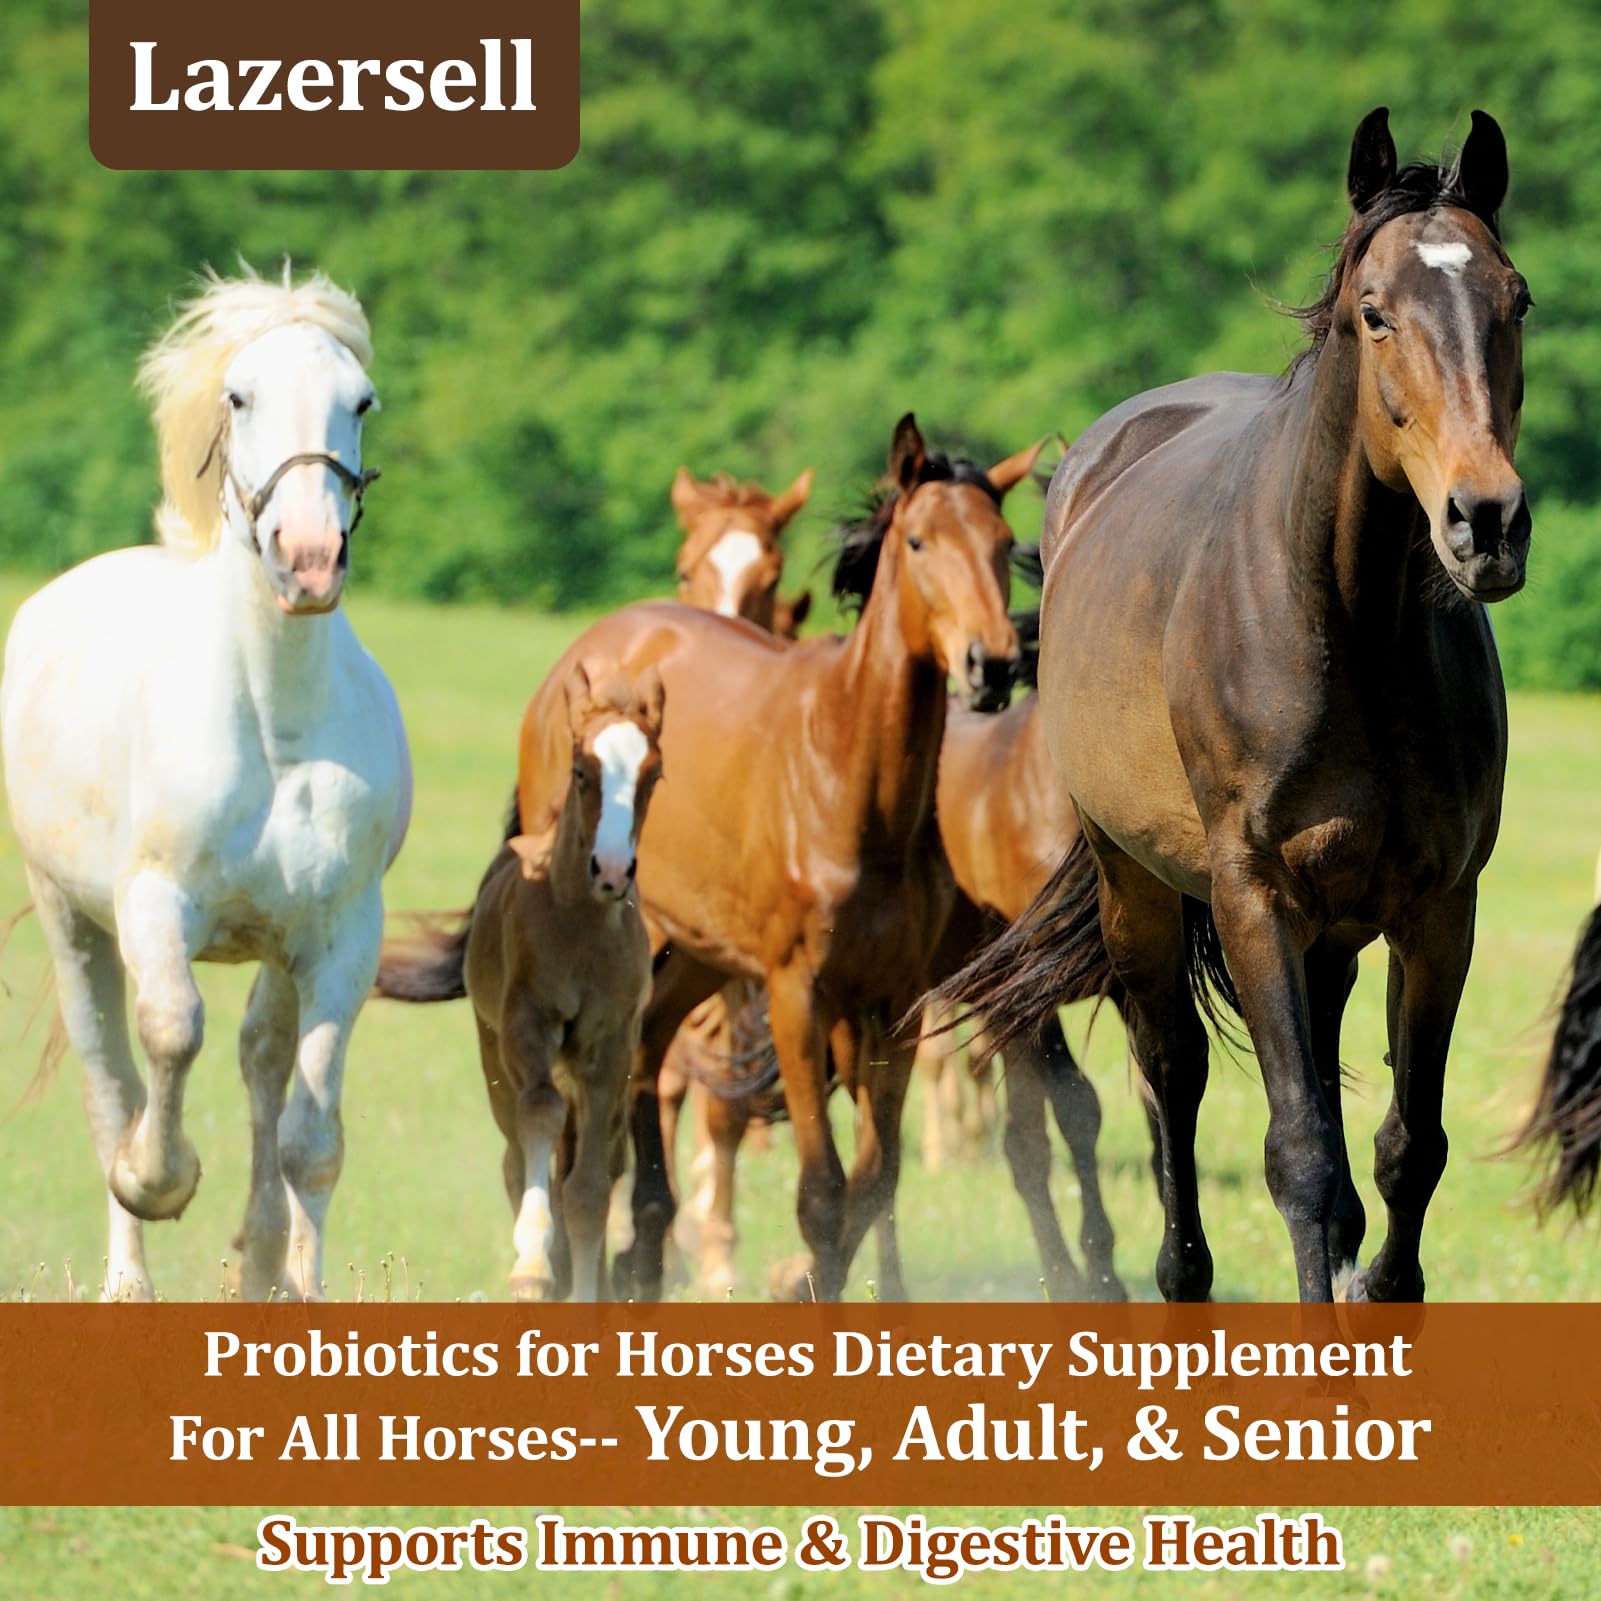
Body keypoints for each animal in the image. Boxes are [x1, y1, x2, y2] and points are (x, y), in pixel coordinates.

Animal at [1, 269, 411, 1302]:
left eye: (361, 401)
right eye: (238, 396)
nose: (307, 557)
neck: (273, 722)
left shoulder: (339, 938)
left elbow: (311, 1138)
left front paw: (294, 1286)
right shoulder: (153, 906)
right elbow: (170, 1030)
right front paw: (160, 1178)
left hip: (274, 949)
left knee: (262, 1065)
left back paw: (260, 1263)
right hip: (68, 917)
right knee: (110, 1077)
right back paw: (128, 1279)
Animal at [376, 663, 665, 1301]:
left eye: (654, 774)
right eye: (582, 771)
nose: (612, 871)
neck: (579, 928)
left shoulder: (610, 1046)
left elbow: (590, 1187)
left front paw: (586, 1295)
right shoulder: (525, 1025)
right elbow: (539, 1117)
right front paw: (532, 1268)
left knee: (601, 1158)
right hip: (492, 1052)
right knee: (515, 1156)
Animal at [515, 415, 1043, 1300]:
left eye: (1004, 543)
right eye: (919, 541)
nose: (992, 662)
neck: (855, 788)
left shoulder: (893, 1001)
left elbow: (875, 1181)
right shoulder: (799, 995)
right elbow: (822, 1195)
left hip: (691, 949)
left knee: (647, 1053)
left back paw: (645, 1250)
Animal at [941, 107, 1531, 1304]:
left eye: (1516, 299)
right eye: (1373, 312)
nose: (1486, 521)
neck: (1347, 635)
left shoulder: (1438, 905)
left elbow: (1405, 1151)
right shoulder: (1254, 896)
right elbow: (1300, 1154)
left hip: (1331, 935)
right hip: (1136, 886)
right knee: (1167, 1073)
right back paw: (1175, 1278)